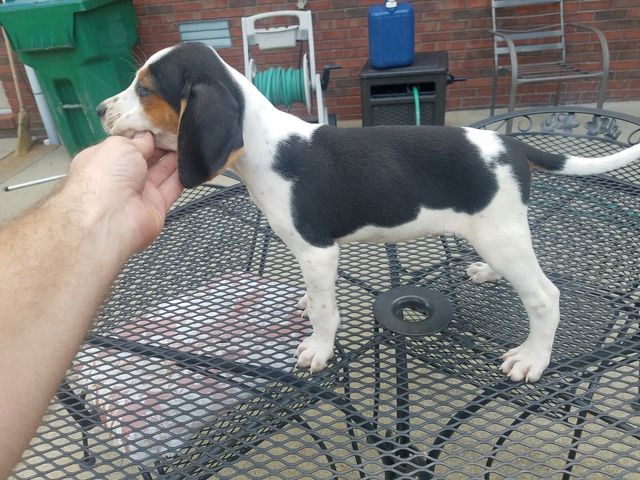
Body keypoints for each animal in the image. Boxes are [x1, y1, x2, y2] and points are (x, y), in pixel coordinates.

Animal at [97, 42, 640, 382]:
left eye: (144, 90)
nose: (100, 110)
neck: (265, 146)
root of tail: (511, 144)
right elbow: (315, 298)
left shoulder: (318, 251)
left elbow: (324, 309)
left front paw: (318, 347)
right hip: (493, 233)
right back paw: (487, 273)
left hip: (503, 235)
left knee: (545, 297)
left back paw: (533, 358)